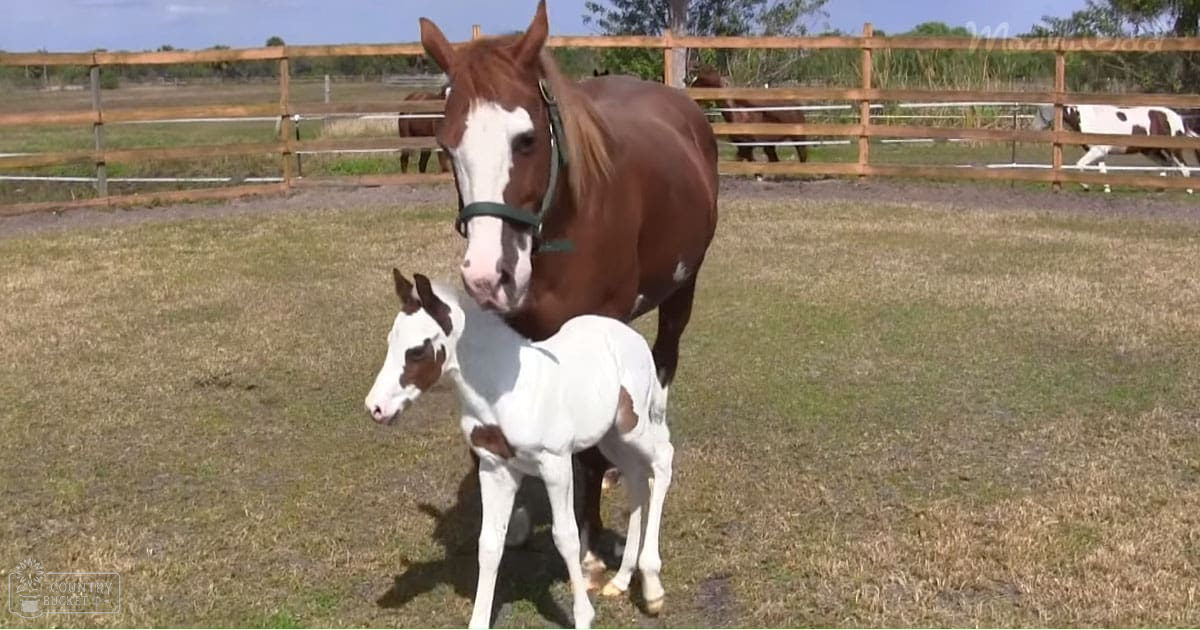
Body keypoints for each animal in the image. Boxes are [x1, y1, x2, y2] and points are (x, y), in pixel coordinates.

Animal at [365, 271, 675, 629]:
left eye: (416, 351)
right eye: (391, 341)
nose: (375, 408)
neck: (502, 391)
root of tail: (631, 336)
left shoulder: (555, 465)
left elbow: (566, 537)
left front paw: (583, 616)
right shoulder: (495, 468)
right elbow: (489, 544)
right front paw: (479, 620)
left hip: (633, 427)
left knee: (663, 460)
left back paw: (652, 588)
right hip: (611, 437)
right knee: (637, 479)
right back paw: (622, 580)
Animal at [417, 0, 717, 595]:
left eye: (526, 139)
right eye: (446, 145)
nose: (487, 276)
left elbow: (590, 459)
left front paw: (589, 543)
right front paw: (517, 519)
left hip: (680, 294)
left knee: (662, 370)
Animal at [1033, 104, 1197, 194]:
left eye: (1041, 112)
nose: (1034, 128)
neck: (1088, 118)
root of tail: (1178, 117)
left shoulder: (1097, 151)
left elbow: (1079, 165)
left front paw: (1086, 186)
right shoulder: (1099, 153)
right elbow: (1103, 171)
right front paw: (1107, 188)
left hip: (1173, 149)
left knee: (1184, 167)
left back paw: (1189, 190)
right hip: (1151, 151)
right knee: (1166, 164)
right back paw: (1160, 188)